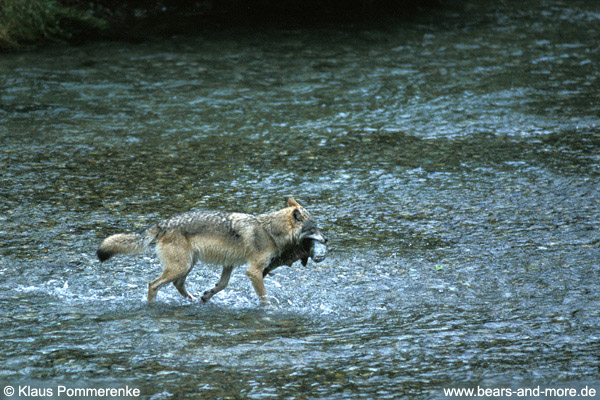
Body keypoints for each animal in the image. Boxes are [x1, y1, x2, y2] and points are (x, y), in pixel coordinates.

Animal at [96, 196, 328, 304]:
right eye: (314, 229)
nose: (326, 239)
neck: (269, 230)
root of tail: (163, 223)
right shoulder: (253, 271)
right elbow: (264, 297)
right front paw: (269, 308)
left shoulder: (229, 264)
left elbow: (222, 285)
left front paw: (207, 295)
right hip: (181, 266)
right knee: (153, 284)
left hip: (187, 265)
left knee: (177, 284)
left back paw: (191, 299)